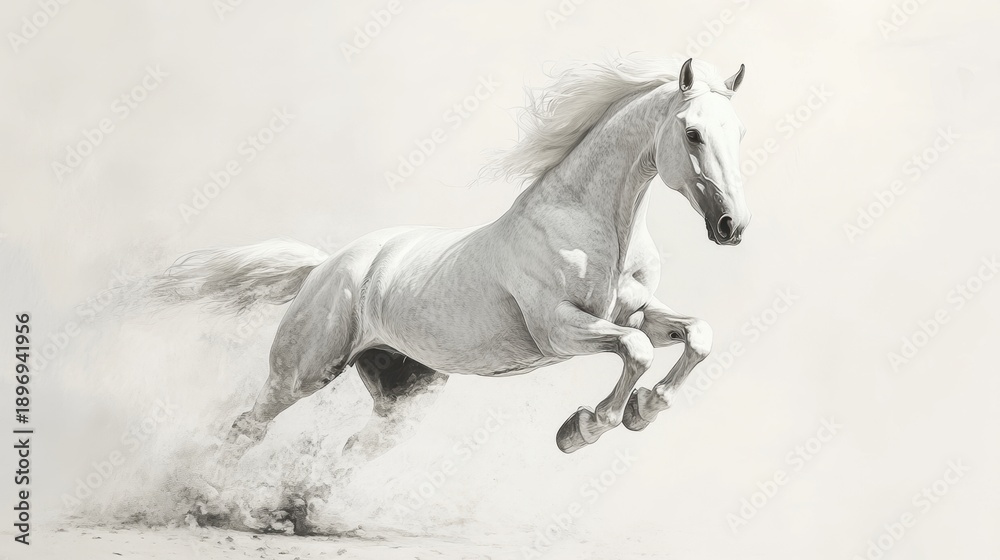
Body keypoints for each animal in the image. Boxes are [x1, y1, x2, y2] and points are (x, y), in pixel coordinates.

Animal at [150, 56, 750, 464]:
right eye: (692, 132)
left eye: (738, 131)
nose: (732, 227)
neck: (592, 226)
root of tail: (324, 268)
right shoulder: (559, 330)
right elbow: (637, 350)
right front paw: (584, 428)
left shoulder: (637, 311)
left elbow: (696, 334)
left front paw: (644, 410)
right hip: (303, 372)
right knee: (248, 426)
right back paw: (208, 499)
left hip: (405, 388)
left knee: (354, 447)